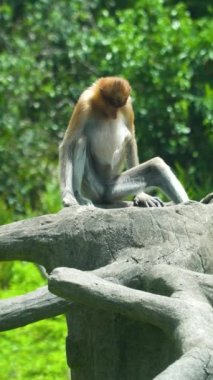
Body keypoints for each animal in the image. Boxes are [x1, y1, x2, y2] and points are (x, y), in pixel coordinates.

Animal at [59, 75, 188, 206]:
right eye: (112, 103)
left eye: (119, 106)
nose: (115, 115)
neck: (101, 109)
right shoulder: (83, 103)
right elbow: (68, 144)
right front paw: (68, 197)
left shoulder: (128, 107)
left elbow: (131, 139)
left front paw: (142, 196)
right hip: (92, 188)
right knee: (81, 142)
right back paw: (79, 197)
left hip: (115, 188)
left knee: (156, 166)